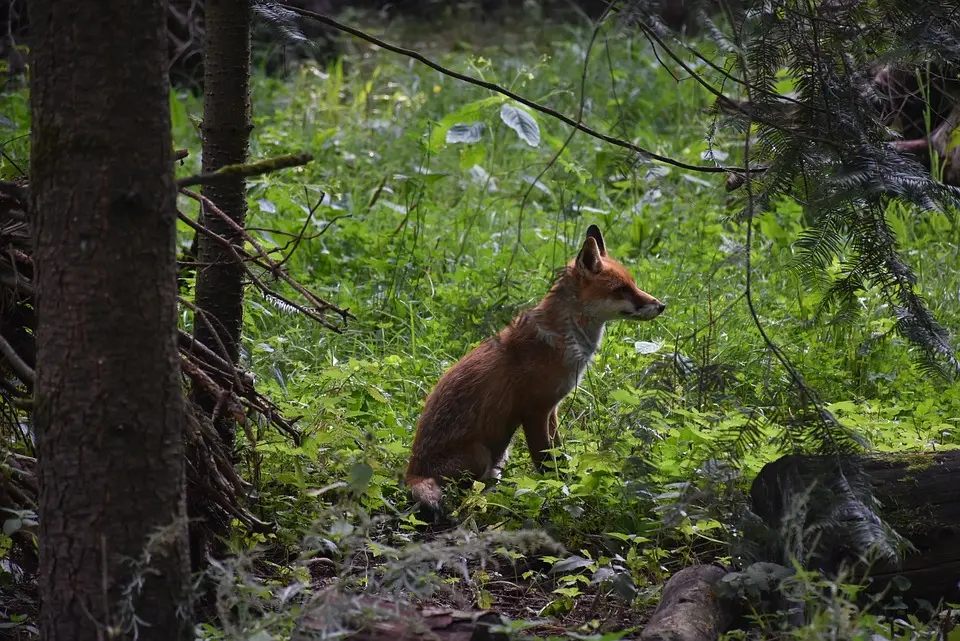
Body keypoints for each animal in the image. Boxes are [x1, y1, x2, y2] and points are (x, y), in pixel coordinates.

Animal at [402, 222, 664, 516]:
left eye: (633, 284)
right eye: (621, 289)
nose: (661, 306)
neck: (563, 341)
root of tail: (412, 473)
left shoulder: (552, 409)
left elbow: (559, 453)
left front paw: (568, 485)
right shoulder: (534, 411)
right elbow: (545, 462)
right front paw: (556, 493)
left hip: (499, 456)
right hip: (481, 455)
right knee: (466, 490)